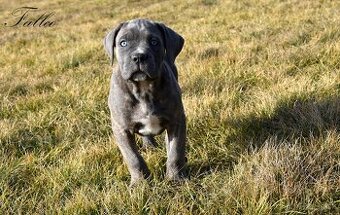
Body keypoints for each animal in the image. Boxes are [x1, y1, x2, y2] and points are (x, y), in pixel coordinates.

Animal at [105, 18, 187, 186]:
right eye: (123, 43)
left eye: (154, 42)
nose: (139, 56)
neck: (143, 89)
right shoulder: (121, 129)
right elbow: (133, 158)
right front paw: (140, 183)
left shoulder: (177, 121)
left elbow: (176, 152)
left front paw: (174, 178)